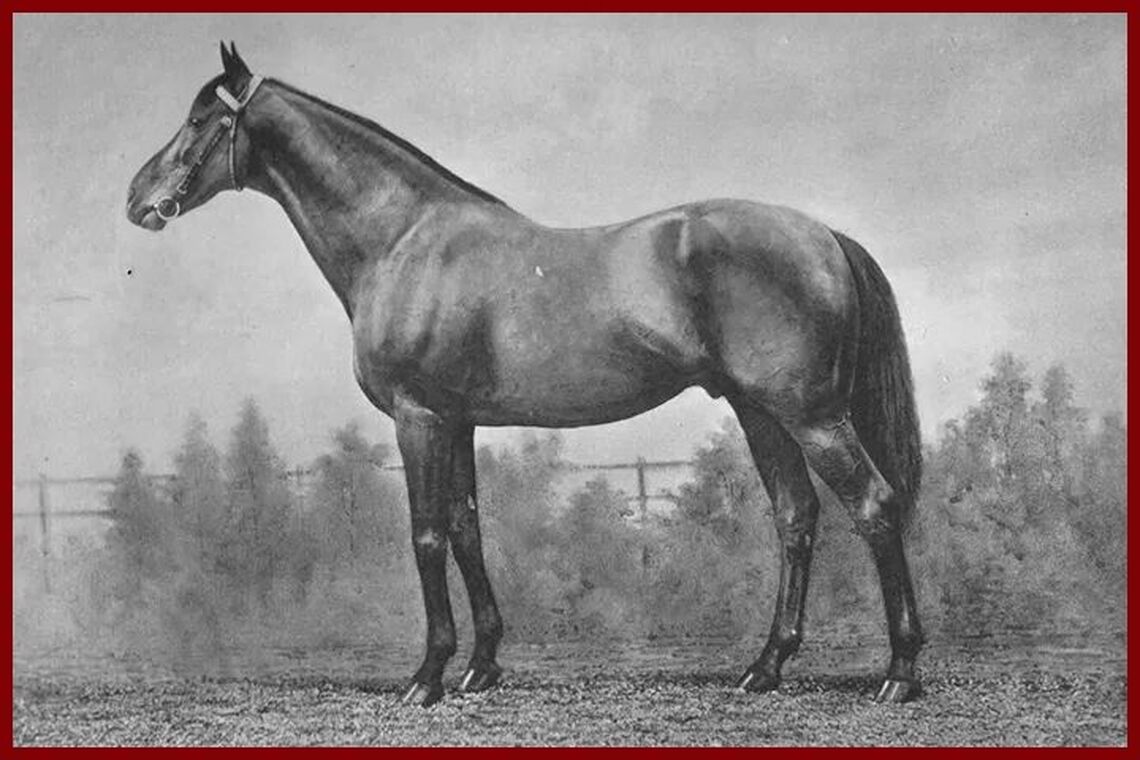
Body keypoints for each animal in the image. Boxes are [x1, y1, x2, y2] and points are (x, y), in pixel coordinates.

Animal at [127, 44, 925, 707]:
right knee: (795, 517)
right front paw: (481, 667)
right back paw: (764, 668)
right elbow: (467, 529)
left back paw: (900, 674)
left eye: (199, 120)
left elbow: (426, 534)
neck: (405, 239)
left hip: (812, 416)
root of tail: (823, 235)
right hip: (762, 412)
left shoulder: (419, 418)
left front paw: (427, 677)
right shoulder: (457, 422)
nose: (137, 199)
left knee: (875, 507)